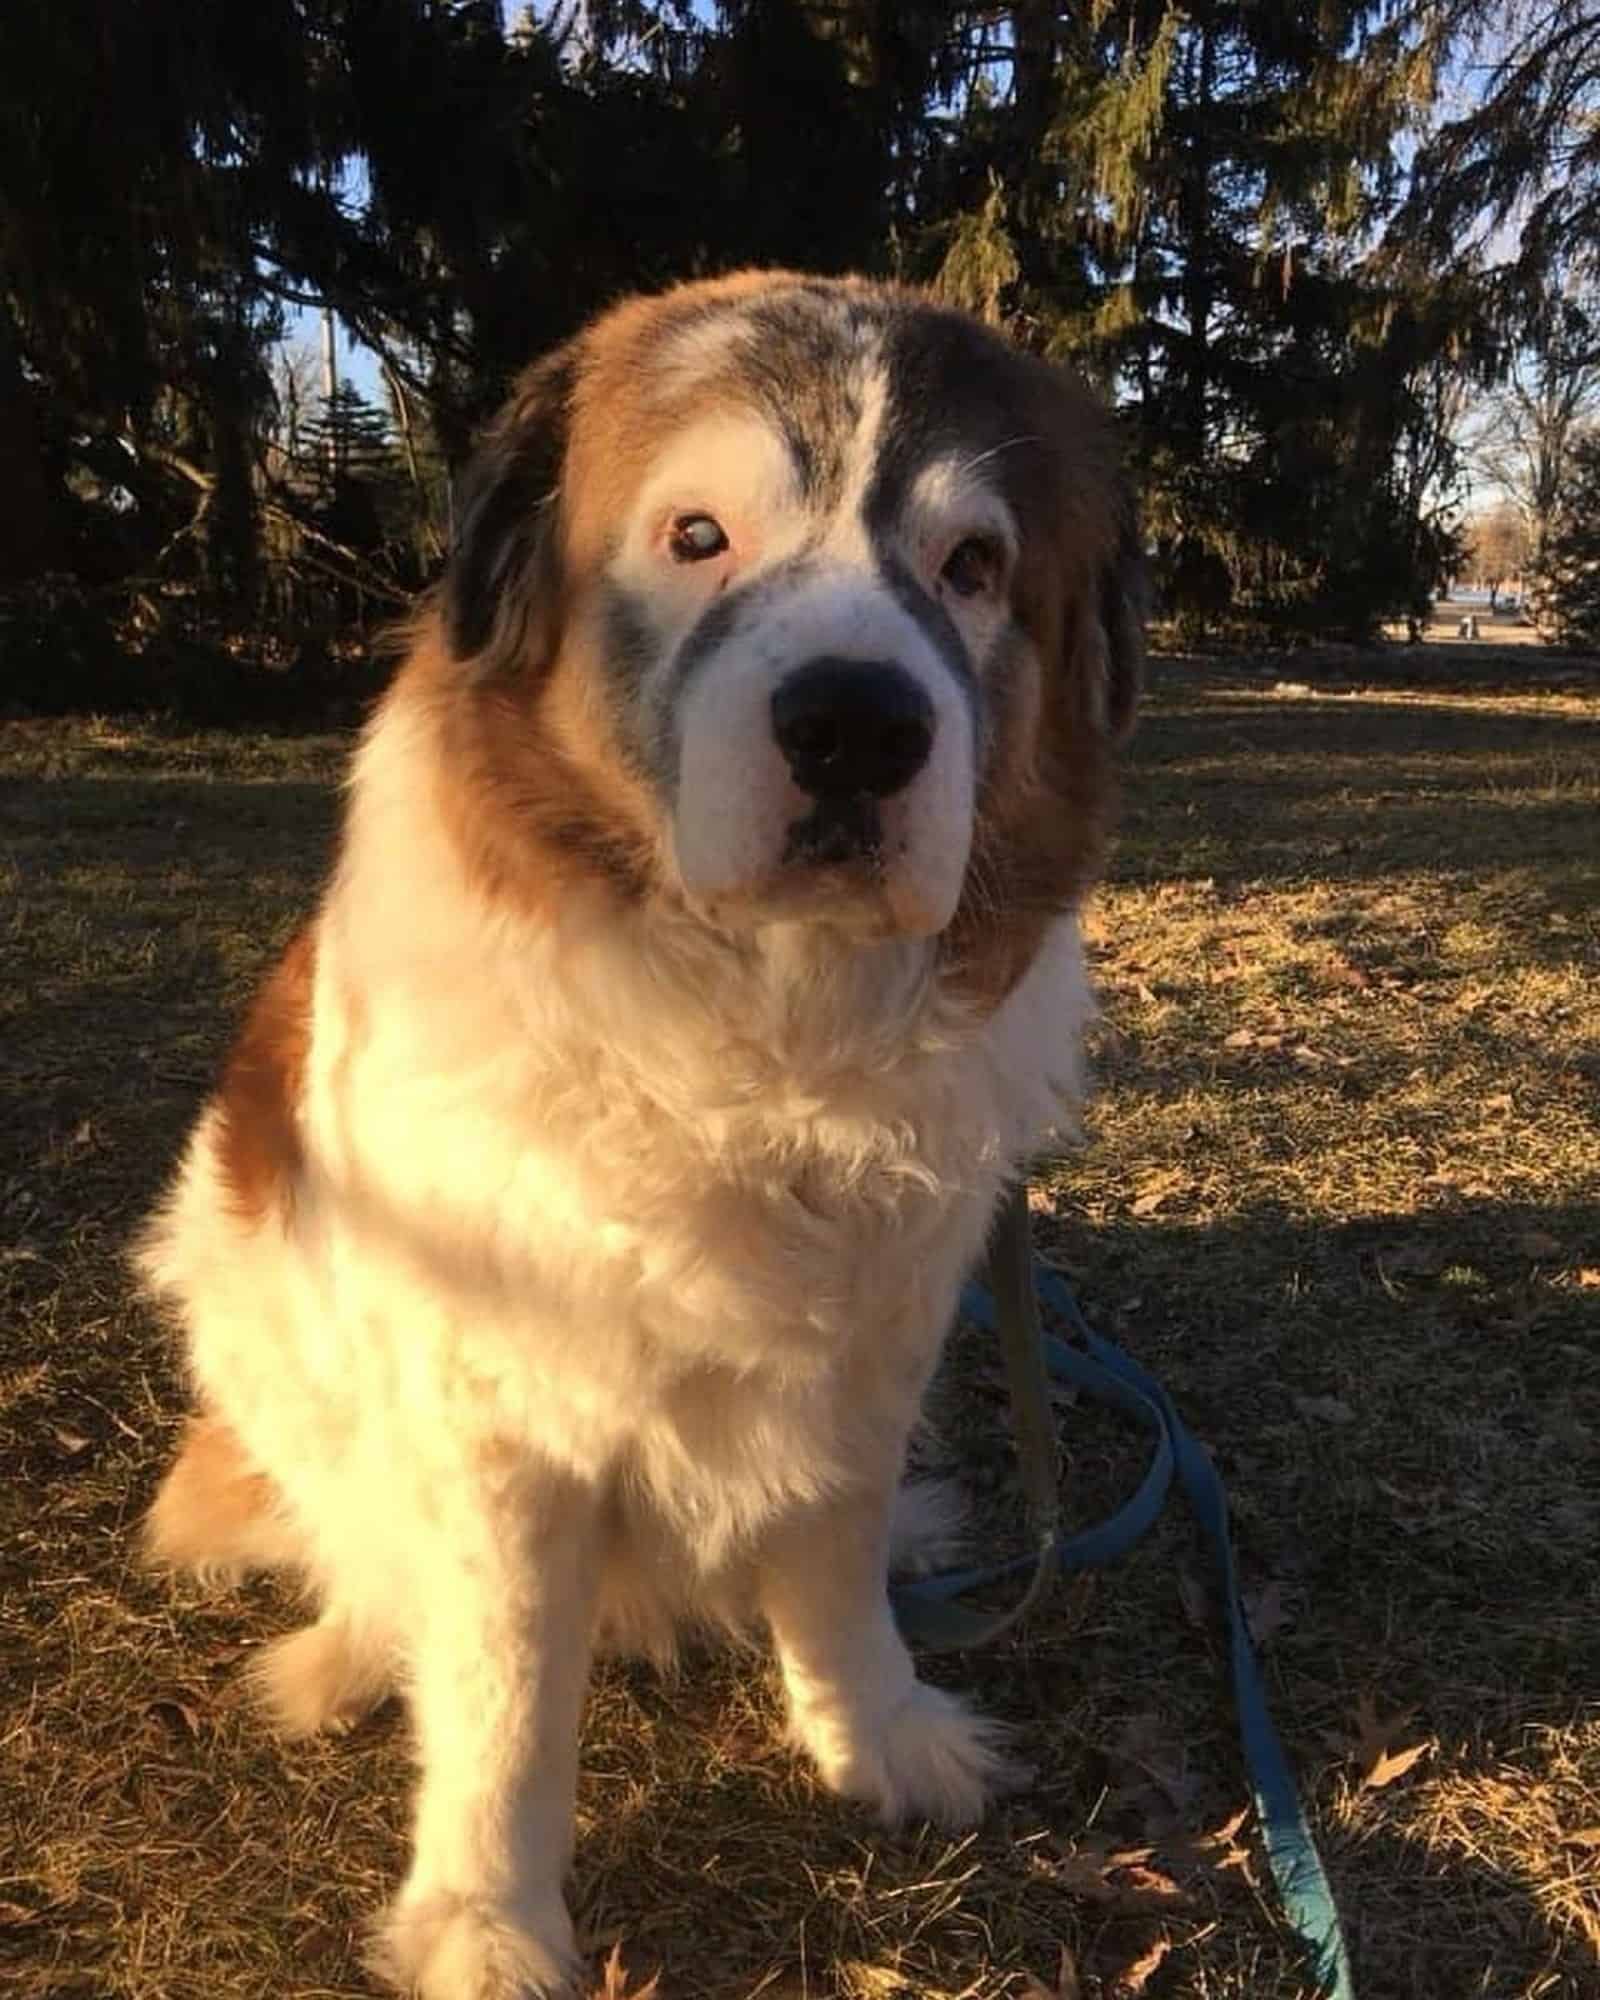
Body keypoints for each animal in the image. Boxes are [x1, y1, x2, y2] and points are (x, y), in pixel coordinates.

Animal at [134, 270, 1136, 2000]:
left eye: (973, 567)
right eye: (696, 537)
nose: (858, 726)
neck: (760, 1050)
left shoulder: (870, 1356)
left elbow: (835, 1565)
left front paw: (874, 1735)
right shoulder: (496, 1424)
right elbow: (507, 1691)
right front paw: (485, 1918)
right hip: (234, 1285)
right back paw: (346, 1653)